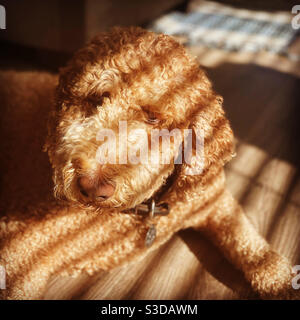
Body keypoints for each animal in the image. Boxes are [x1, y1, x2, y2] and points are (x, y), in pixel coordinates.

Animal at [0, 26, 298, 298]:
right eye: (96, 100)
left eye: (153, 117)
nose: (91, 187)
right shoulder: (20, 251)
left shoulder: (214, 201)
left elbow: (249, 242)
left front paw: (282, 281)